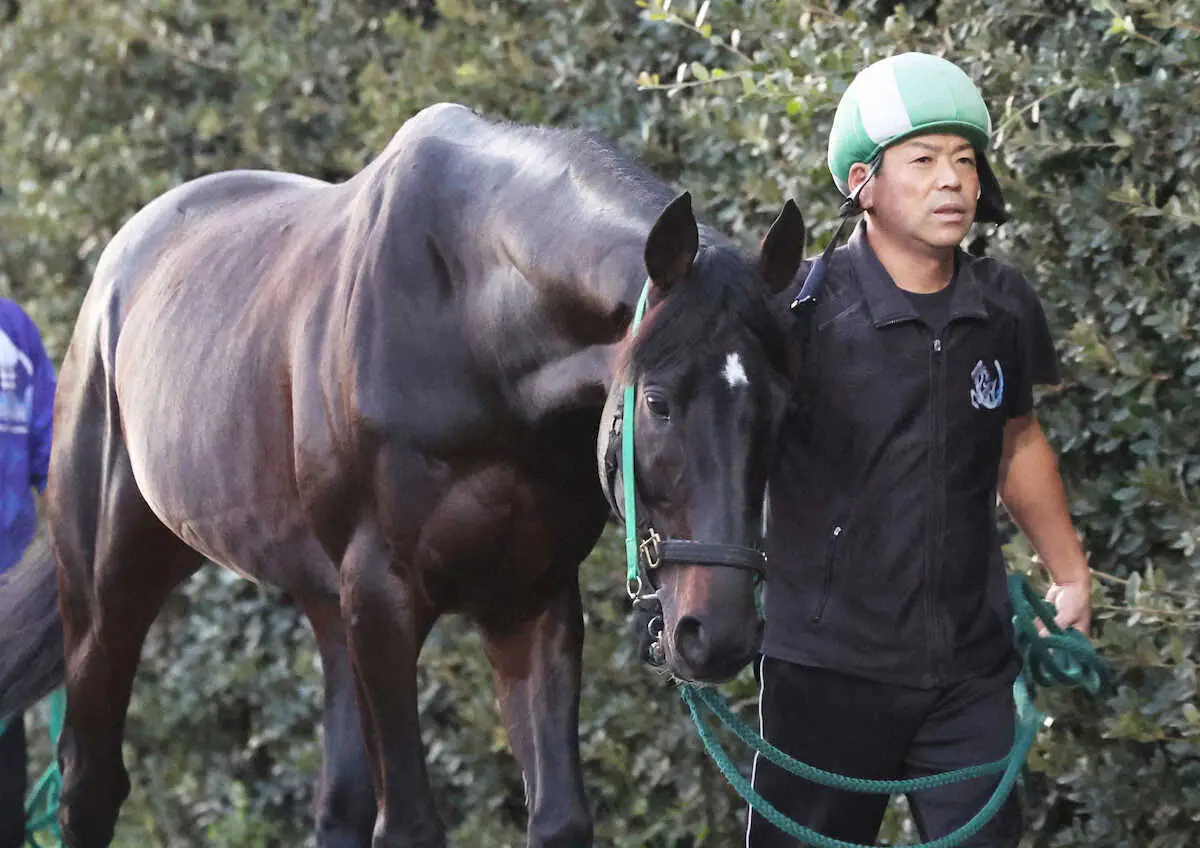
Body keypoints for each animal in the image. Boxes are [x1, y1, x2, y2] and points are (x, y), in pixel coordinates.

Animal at [2, 102, 806, 844]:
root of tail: (118, 270)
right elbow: (412, 823)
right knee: (90, 778)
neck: (473, 327)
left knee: (339, 802)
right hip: (110, 589)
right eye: (660, 402)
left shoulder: (530, 597)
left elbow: (557, 819)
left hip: (327, 604)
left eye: (780, 406)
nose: (719, 634)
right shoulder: (383, 595)